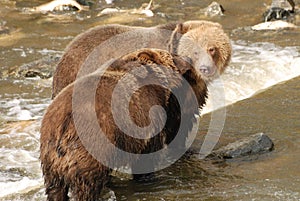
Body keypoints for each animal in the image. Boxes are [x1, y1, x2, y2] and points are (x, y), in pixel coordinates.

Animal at [39, 48, 209, 200]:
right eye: (173, 56)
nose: (188, 58)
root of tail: (62, 124)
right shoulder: (148, 117)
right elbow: (147, 155)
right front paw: (147, 178)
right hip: (92, 143)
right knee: (87, 182)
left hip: (50, 157)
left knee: (55, 187)